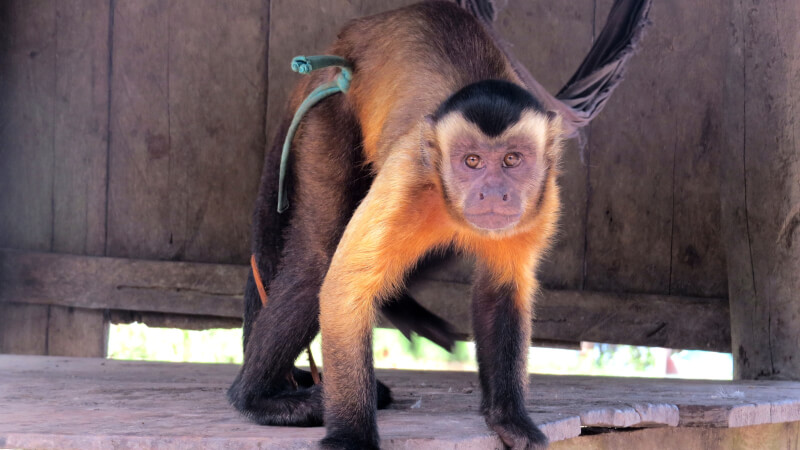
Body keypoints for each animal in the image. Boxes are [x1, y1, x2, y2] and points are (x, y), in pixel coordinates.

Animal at [227, 1, 650, 448]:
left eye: (512, 160)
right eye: (472, 161)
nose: (494, 193)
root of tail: (341, 47)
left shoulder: (543, 199)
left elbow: (500, 287)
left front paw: (508, 418)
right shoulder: (409, 171)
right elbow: (345, 284)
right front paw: (352, 435)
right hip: (330, 117)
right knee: (317, 262)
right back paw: (256, 398)